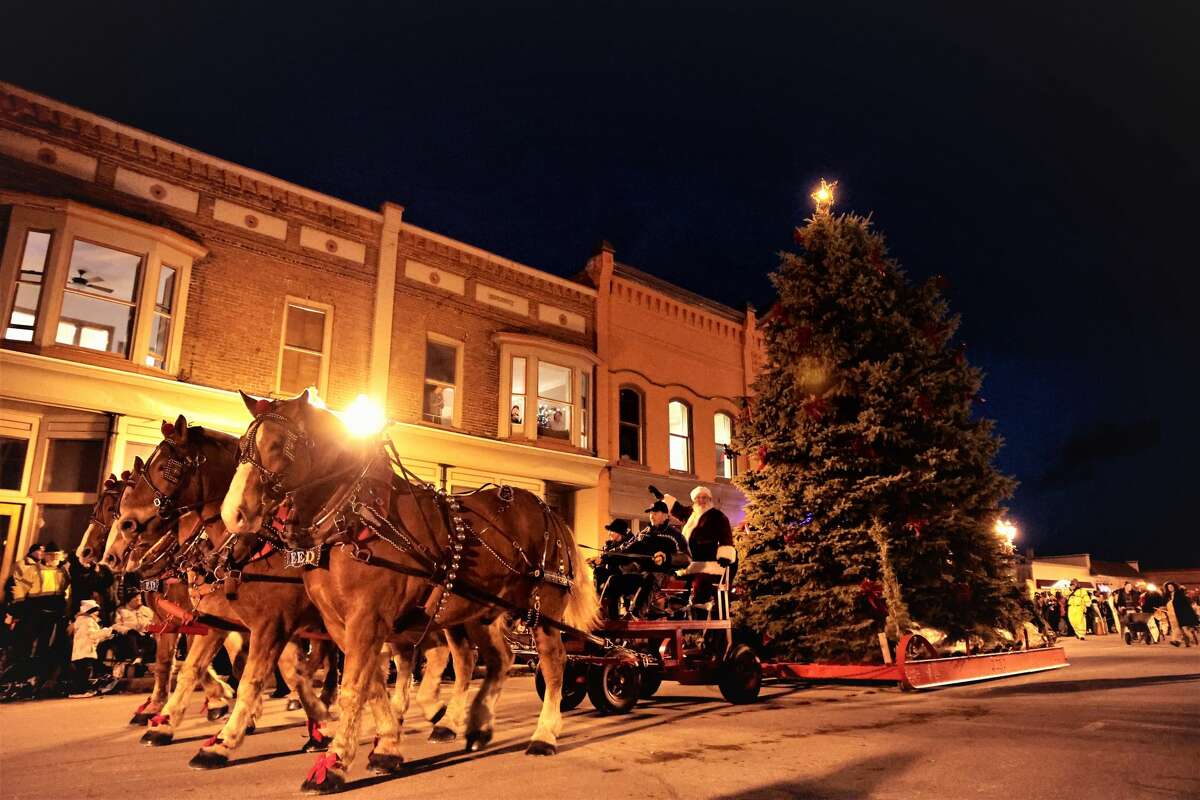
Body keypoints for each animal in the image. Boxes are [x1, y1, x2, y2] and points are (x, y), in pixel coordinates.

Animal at [79, 470, 236, 724]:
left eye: (111, 507)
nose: (84, 551)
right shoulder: (167, 619)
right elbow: (165, 661)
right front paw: (155, 706)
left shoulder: (192, 616)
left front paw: (218, 696)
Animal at [223, 388, 597, 796]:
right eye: (240, 446)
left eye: (277, 444)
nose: (234, 513)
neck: (356, 520)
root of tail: (547, 509)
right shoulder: (342, 624)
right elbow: (372, 684)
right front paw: (386, 747)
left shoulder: (367, 618)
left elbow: (354, 687)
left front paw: (334, 764)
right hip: (478, 610)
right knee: (498, 658)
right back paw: (474, 725)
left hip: (542, 609)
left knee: (554, 663)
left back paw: (544, 735)